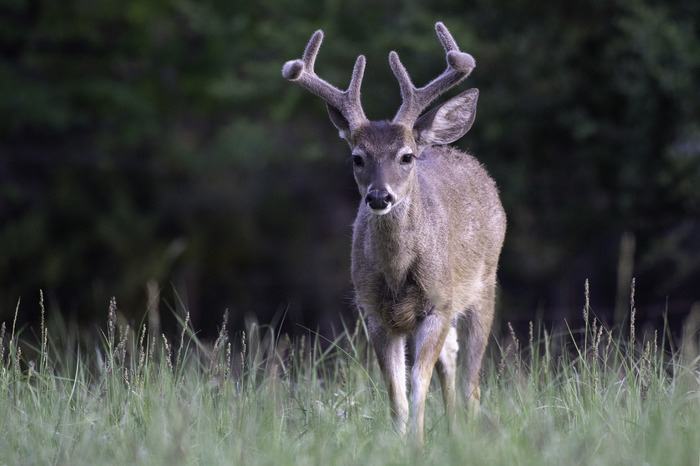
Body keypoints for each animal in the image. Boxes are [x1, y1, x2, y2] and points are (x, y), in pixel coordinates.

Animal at [282, 22, 506, 448]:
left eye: (405, 156)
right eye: (357, 157)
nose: (379, 196)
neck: (399, 275)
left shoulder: (438, 303)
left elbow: (418, 383)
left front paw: (417, 445)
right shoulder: (373, 312)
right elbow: (395, 392)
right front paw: (401, 443)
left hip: (484, 287)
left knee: (471, 379)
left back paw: (465, 432)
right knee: (451, 358)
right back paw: (453, 431)